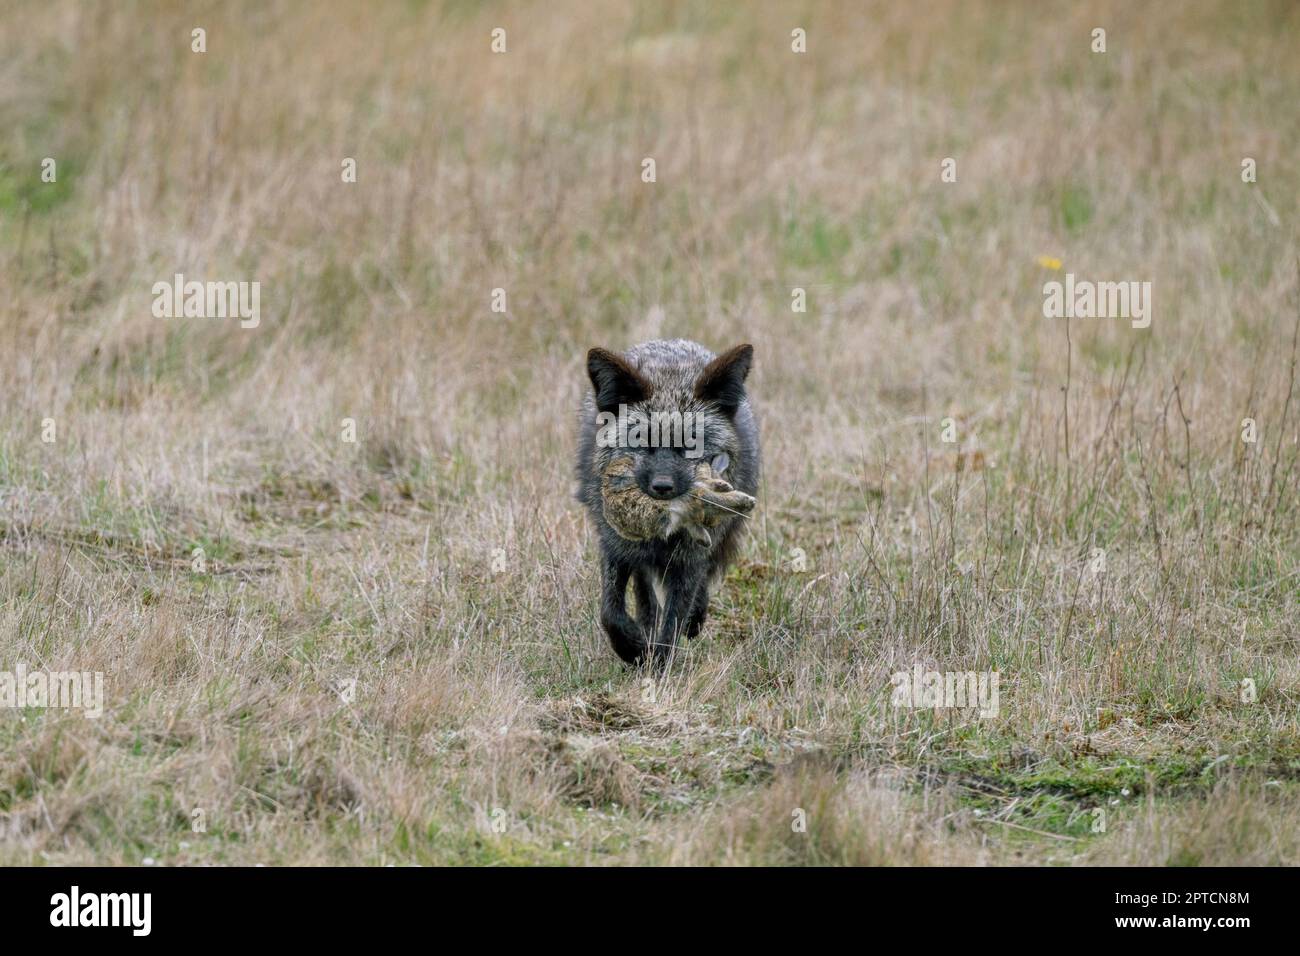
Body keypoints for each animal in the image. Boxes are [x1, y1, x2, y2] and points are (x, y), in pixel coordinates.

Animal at [576, 339, 760, 666]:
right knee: (645, 589)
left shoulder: (690, 559)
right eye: (641, 440)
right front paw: (632, 647)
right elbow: (610, 612)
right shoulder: (614, 546)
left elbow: (673, 622)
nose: (662, 487)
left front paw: (660, 667)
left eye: (691, 444)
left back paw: (693, 619)